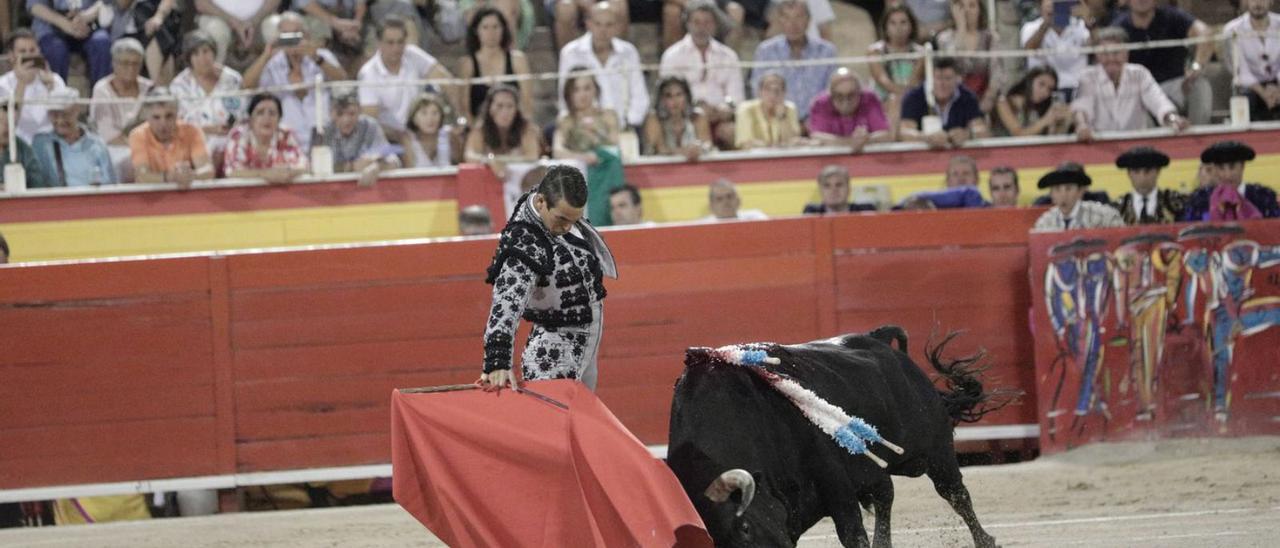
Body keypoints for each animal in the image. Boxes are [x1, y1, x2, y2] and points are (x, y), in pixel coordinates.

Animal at [665, 327, 1003, 545]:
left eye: (745, 528)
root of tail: (879, 339)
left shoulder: (833, 480)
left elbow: (851, 533)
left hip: (936, 453)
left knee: (956, 495)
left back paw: (986, 540)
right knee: (886, 495)